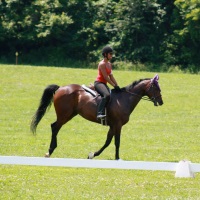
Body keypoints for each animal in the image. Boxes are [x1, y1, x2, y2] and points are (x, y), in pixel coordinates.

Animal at [30, 74, 163, 160]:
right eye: (156, 88)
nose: (161, 102)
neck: (124, 99)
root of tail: (61, 88)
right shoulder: (118, 125)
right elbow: (117, 142)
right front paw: (117, 158)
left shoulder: (112, 126)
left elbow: (108, 142)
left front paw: (93, 154)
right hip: (64, 115)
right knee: (54, 127)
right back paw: (50, 151)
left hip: (70, 114)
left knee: (55, 127)